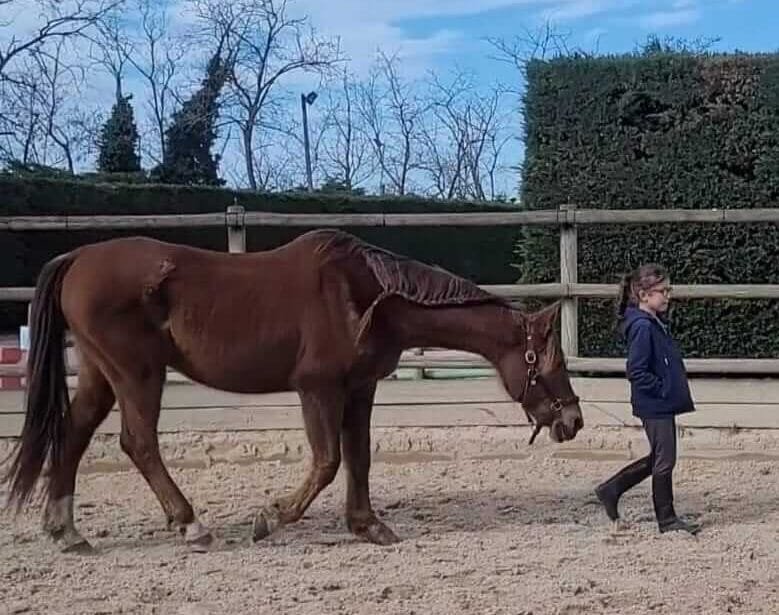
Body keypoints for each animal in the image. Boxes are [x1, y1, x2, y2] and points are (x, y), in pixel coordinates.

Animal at [2, 228, 583, 553]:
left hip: (101, 375)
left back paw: (68, 532)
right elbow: (327, 462)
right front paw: (270, 518)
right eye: (550, 361)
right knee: (138, 444)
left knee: (73, 435)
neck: (366, 295)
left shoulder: (359, 390)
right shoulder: (317, 389)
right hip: (138, 375)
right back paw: (191, 527)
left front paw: (369, 526)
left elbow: (359, 458)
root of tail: (77, 259)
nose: (573, 420)